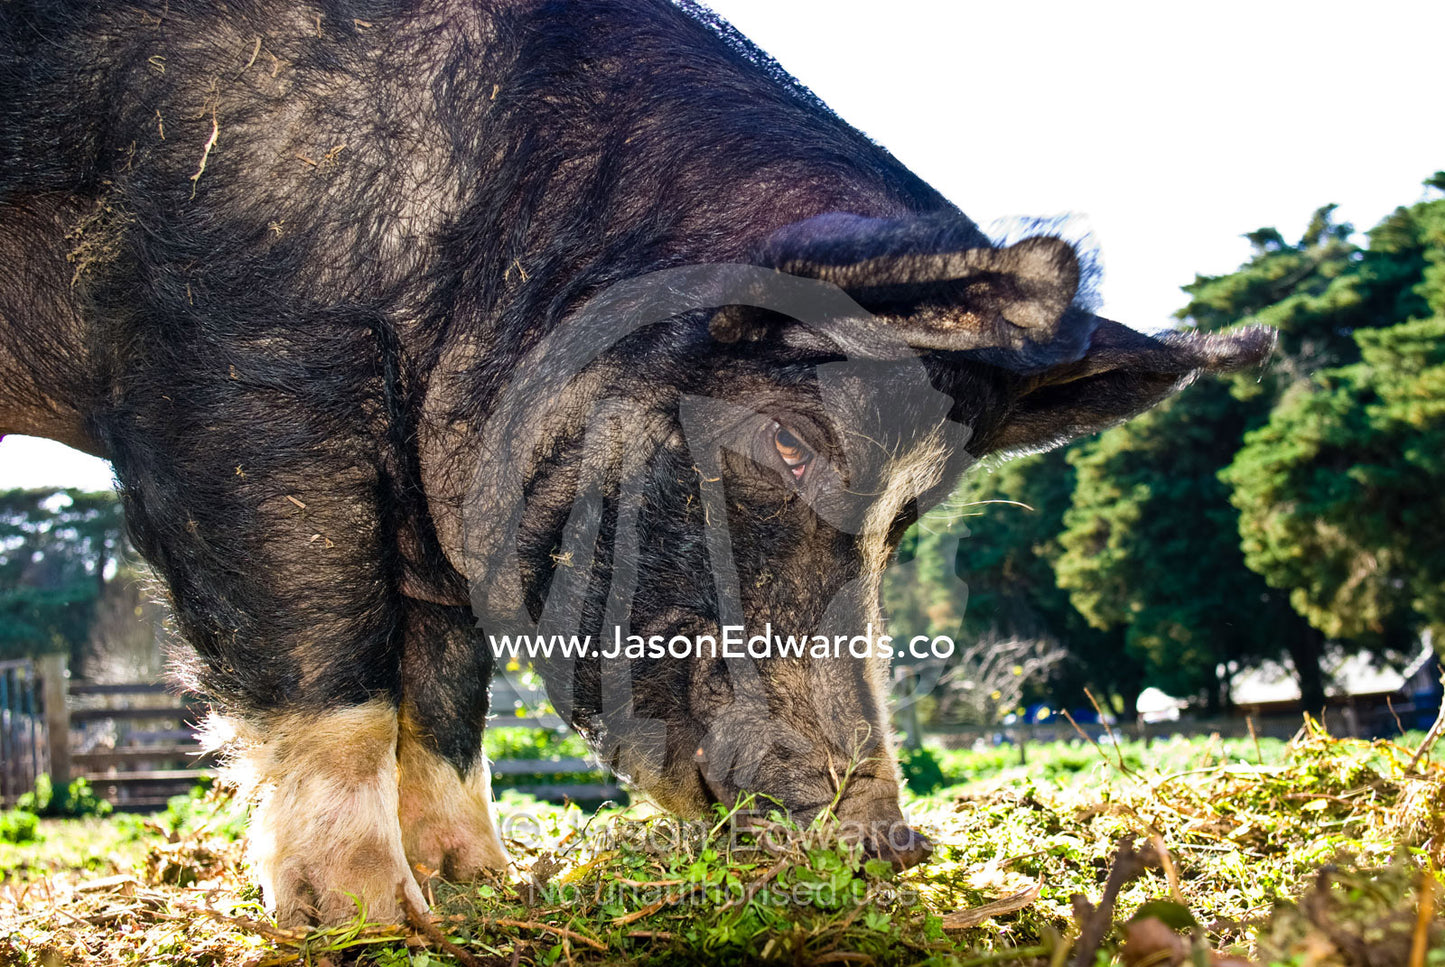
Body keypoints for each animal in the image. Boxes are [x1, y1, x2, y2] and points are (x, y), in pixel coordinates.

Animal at [0, 0, 1272, 926]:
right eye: (790, 440)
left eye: (910, 518)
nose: (893, 841)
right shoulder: (230, 359)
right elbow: (327, 655)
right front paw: (374, 921)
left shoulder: (436, 499)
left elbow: (443, 689)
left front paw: (483, 889)